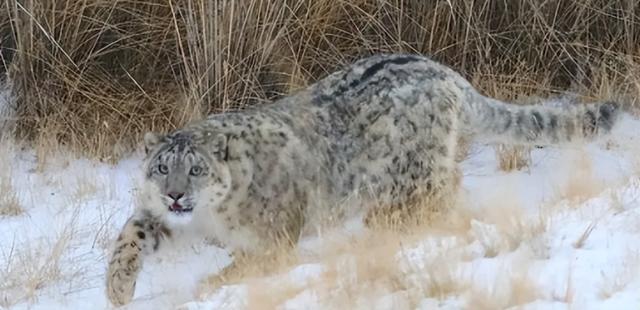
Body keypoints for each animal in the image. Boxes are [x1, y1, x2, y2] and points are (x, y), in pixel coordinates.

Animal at [105, 53, 620, 306]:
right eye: (161, 168)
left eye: (196, 169)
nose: (175, 196)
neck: (210, 217)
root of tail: (448, 74)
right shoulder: (161, 219)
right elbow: (131, 234)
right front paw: (117, 289)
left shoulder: (274, 238)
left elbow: (249, 264)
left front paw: (212, 285)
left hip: (413, 174)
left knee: (440, 196)